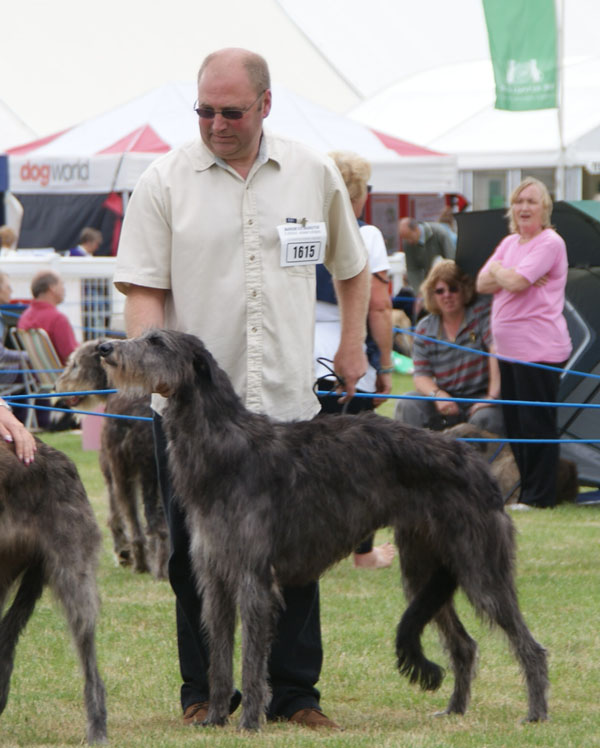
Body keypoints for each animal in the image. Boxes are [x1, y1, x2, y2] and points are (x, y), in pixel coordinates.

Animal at [56, 340, 169, 580]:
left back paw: (146, 565)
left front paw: (123, 552)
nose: (56, 386)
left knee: (144, 526)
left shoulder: (112, 470)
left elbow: (115, 514)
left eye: (75, 364)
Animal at [98, 328, 548, 732]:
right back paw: (454, 710)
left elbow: (251, 662)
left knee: (530, 646)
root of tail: (474, 459)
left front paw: (249, 722)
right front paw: (213, 718)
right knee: (464, 645)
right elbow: (220, 659)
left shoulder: (254, 579)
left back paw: (536, 713)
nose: (103, 347)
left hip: (480, 566)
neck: (224, 444)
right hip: (424, 568)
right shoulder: (215, 579)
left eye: (157, 341)